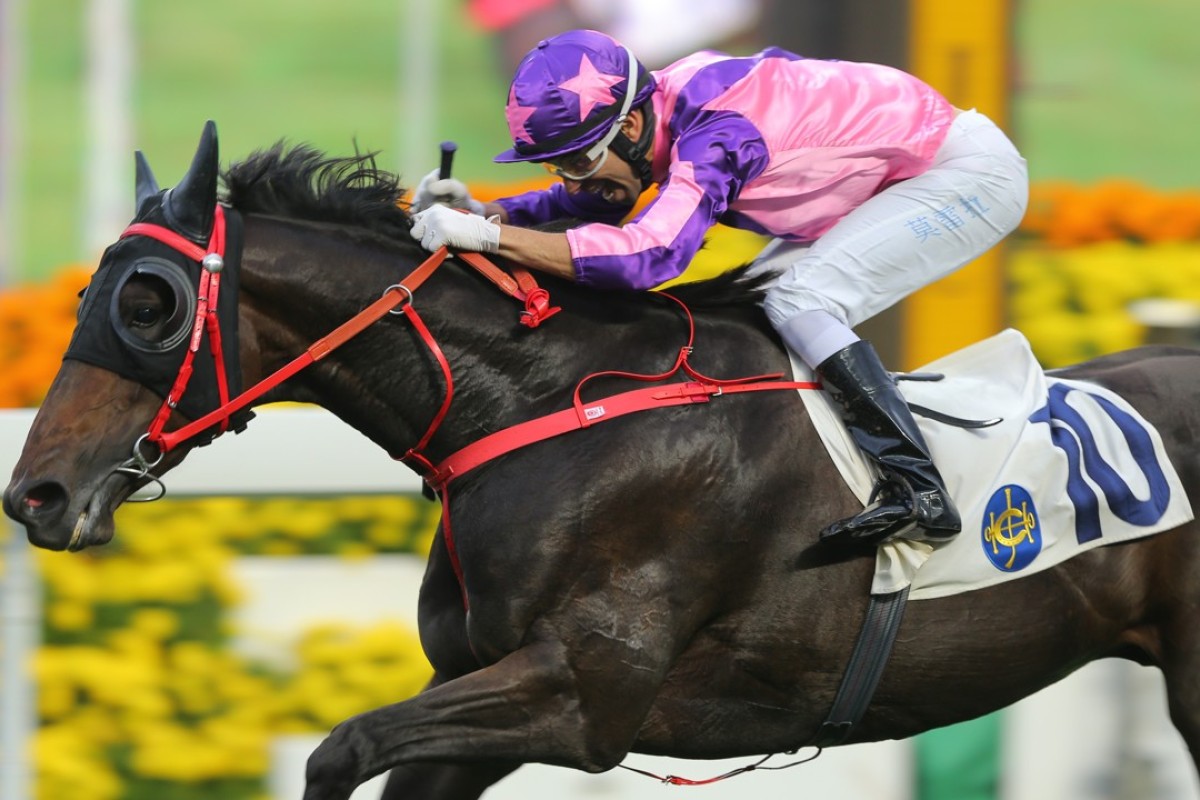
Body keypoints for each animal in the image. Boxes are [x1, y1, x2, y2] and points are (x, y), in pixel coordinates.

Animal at [7, 125, 1200, 800]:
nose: (37, 495)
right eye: (93, 290)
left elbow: (340, 747)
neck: (553, 406)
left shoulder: (583, 695)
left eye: (147, 303)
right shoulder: (482, 696)